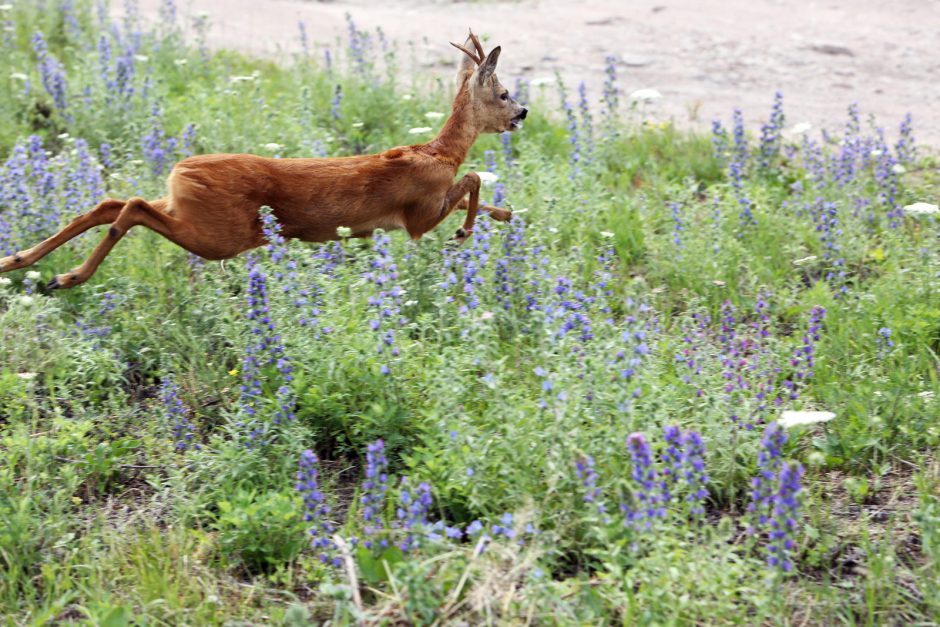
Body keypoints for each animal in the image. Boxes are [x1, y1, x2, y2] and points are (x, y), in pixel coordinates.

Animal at [0, 30, 524, 290]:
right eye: (503, 92)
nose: (522, 113)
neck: (438, 152)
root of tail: (180, 170)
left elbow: (479, 192)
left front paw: (506, 214)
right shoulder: (417, 215)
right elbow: (472, 180)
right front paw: (465, 233)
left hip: (193, 213)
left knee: (110, 202)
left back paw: (20, 260)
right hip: (221, 234)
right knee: (130, 208)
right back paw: (68, 276)